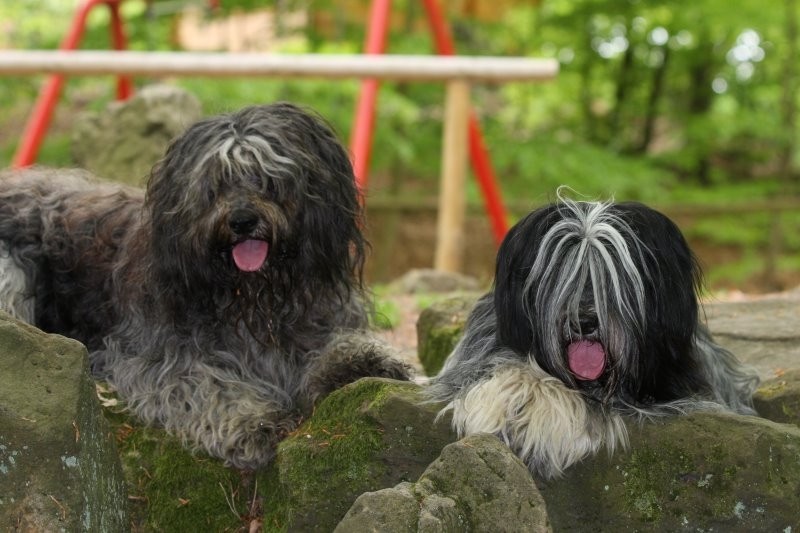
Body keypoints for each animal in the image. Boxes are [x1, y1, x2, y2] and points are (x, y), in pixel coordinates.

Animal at [0, 102, 410, 468]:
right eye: (216, 185)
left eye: (270, 179)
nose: (242, 221)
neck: (256, 299)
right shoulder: (159, 358)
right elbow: (207, 385)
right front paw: (253, 421)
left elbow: (334, 343)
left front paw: (364, 359)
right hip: (11, 274)